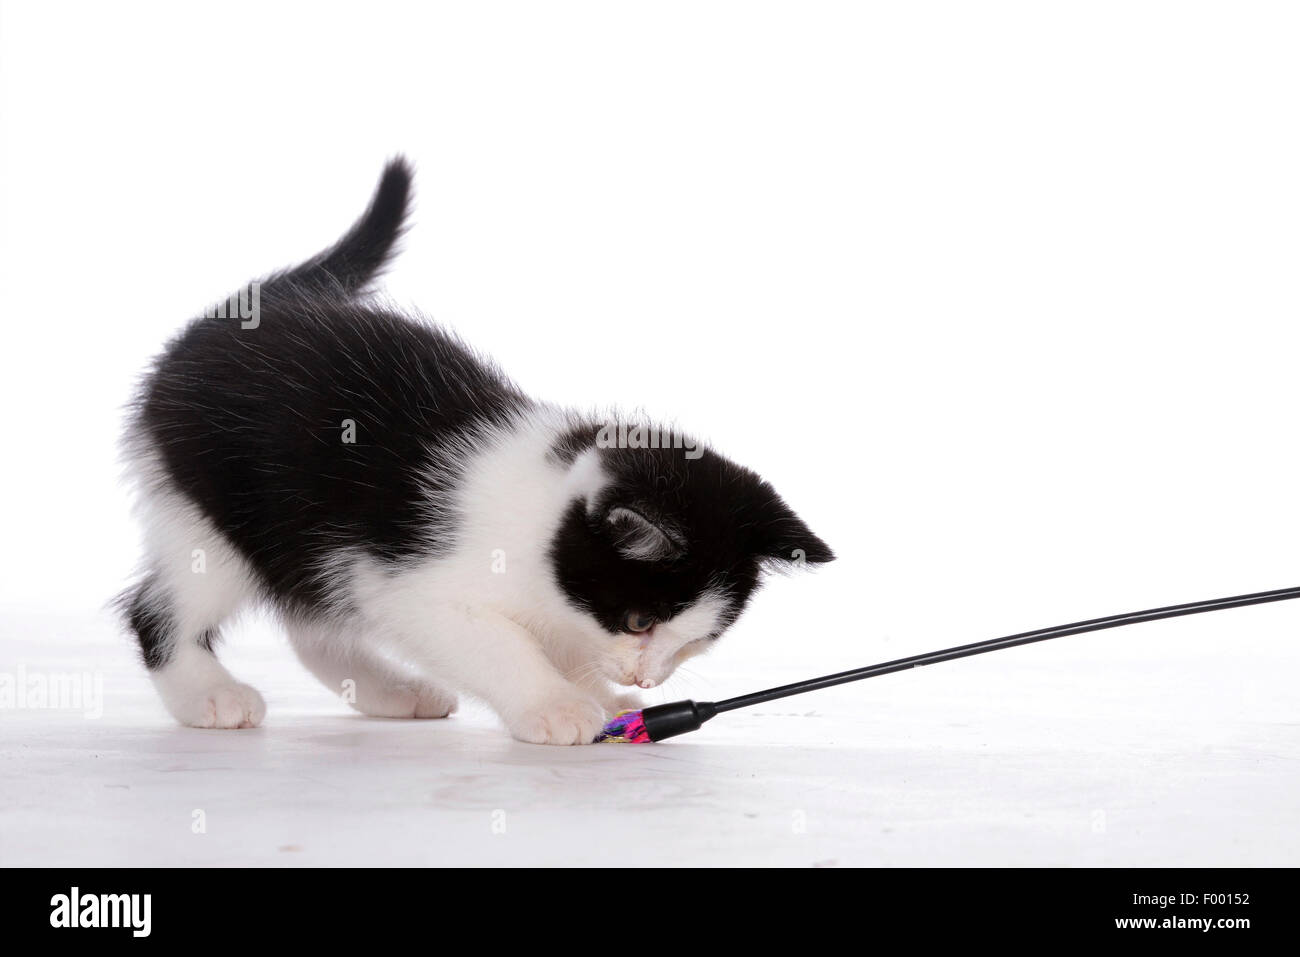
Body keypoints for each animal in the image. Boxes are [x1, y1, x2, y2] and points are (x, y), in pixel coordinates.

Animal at [122, 160, 832, 743]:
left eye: (698, 640)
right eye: (637, 620)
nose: (647, 679)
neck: (540, 519)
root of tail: (221, 320)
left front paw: (603, 699)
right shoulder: (408, 581)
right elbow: (499, 644)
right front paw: (556, 705)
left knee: (312, 621)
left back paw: (390, 691)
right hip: (210, 513)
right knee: (160, 609)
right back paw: (207, 696)